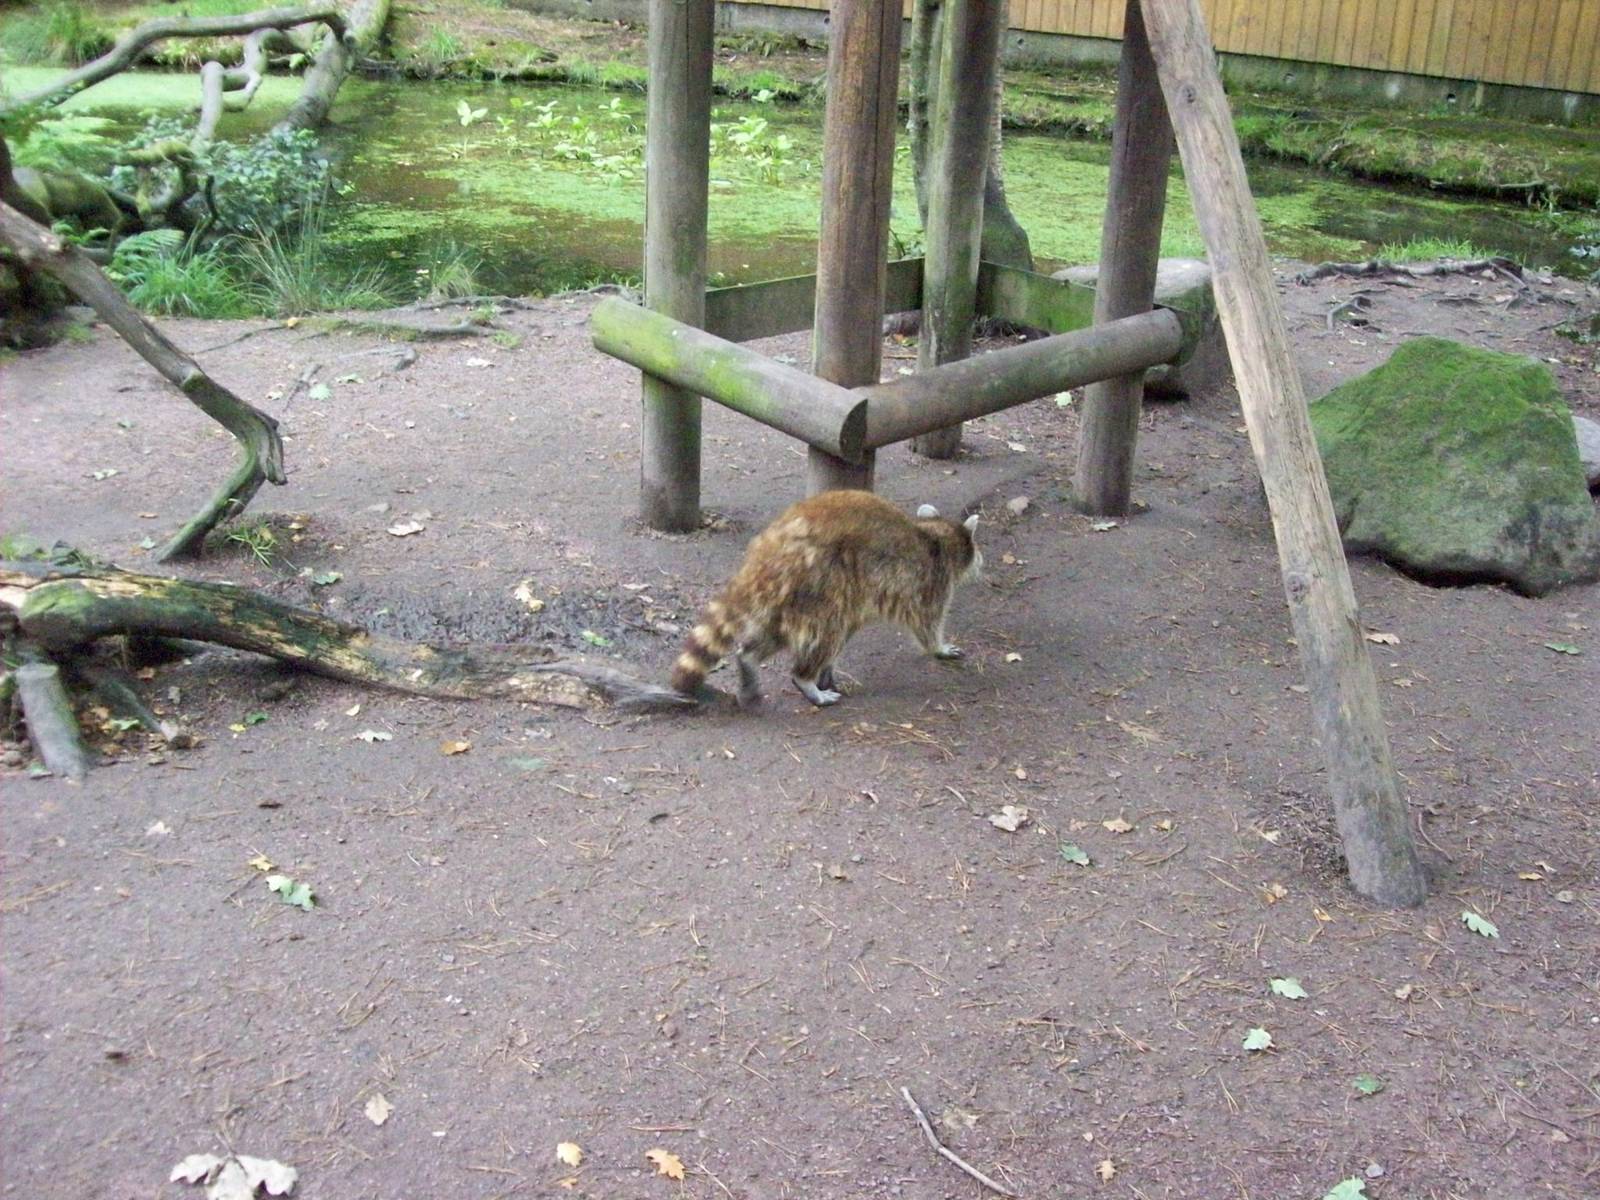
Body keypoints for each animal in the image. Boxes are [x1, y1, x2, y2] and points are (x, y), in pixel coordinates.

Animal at [670, 490, 982, 707]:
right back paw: (806, 678)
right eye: (976, 550)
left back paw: (749, 660)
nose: (981, 563)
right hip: (822, 581)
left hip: (790, 595)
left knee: (779, 633)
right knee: (829, 633)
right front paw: (938, 646)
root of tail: (773, 546)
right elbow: (927, 623)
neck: (935, 534)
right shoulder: (930, 582)